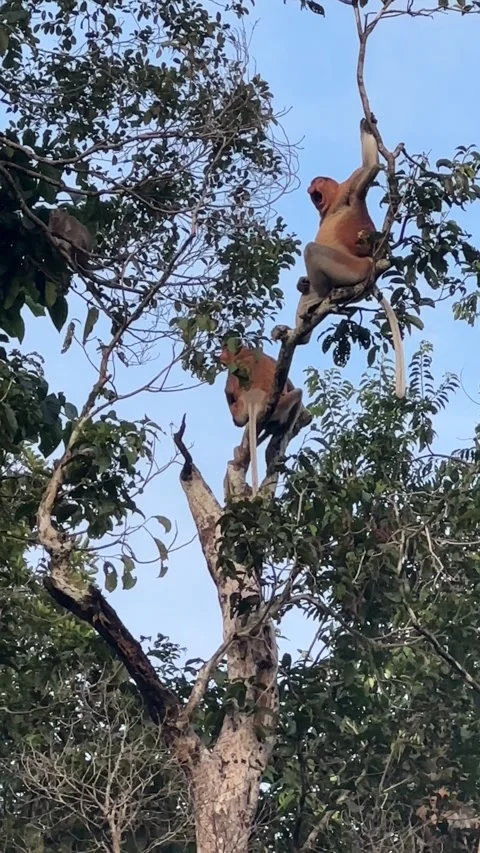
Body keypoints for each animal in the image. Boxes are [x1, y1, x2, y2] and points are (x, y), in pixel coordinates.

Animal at [220, 345, 303, 495]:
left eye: (224, 350)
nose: (219, 356)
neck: (245, 352)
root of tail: (254, 399)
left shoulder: (233, 367)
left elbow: (228, 389)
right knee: (298, 393)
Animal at [295, 119, 406, 399]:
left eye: (318, 182)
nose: (310, 189)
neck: (331, 204)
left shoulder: (348, 187)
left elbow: (369, 167)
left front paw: (367, 124)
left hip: (354, 269)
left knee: (312, 251)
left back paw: (321, 301)